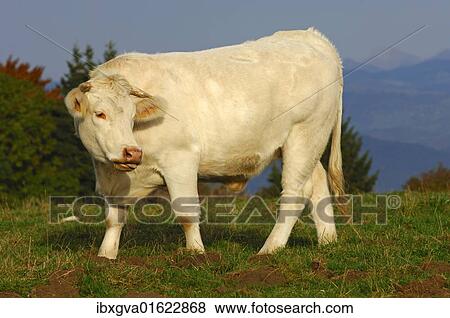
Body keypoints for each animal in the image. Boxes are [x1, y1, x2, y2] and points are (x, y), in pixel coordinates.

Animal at [64, 28, 344, 260]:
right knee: (318, 182)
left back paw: (269, 249)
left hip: (304, 135)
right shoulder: (113, 179)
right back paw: (328, 240)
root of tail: (311, 36)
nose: (131, 153)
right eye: (100, 114)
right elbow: (114, 219)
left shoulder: (181, 159)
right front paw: (105, 257)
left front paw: (196, 254)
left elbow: (186, 212)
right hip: (308, 143)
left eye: (132, 116)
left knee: (295, 192)